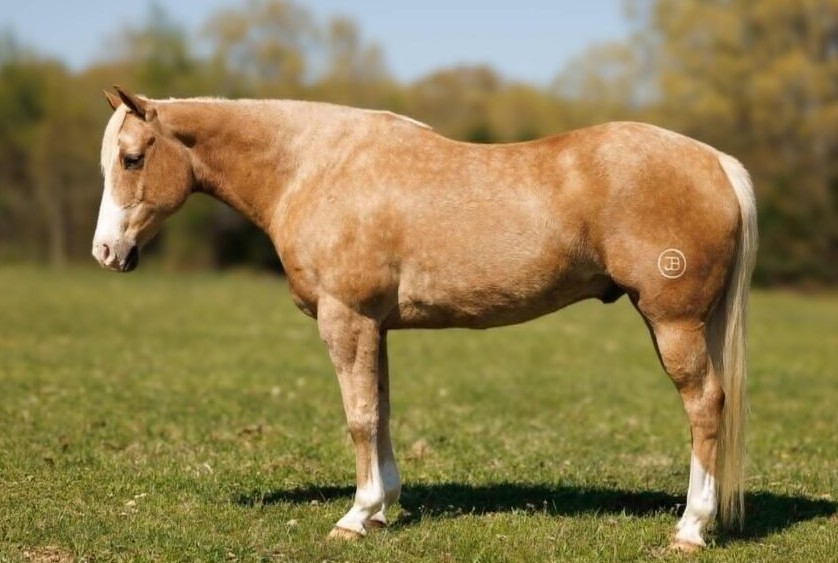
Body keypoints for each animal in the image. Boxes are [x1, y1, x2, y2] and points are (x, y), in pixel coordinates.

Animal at [93, 86, 757, 551]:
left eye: (132, 159)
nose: (106, 253)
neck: (314, 168)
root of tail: (716, 162)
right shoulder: (375, 327)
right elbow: (381, 411)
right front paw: (382, 508)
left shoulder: (346, 320)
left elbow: (359, 417)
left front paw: (355, 517)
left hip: (674, 323)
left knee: (704, 407)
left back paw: (691, 529)